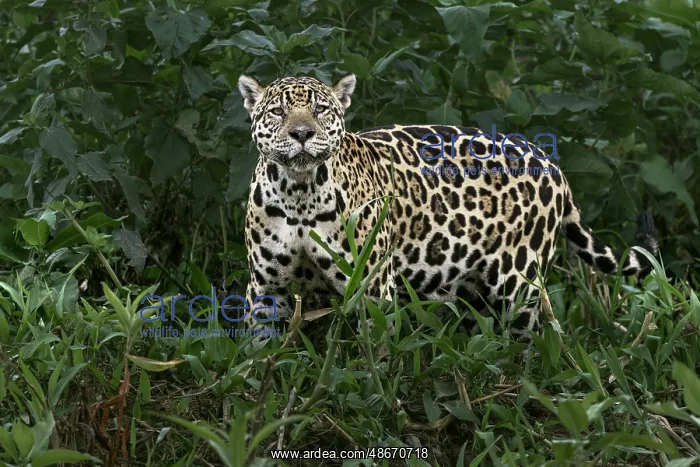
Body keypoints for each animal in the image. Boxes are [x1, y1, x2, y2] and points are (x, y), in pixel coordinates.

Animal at [237, 73, 658, 339]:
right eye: (277, 112)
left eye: (321, 110)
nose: (302, 133)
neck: (299, 193)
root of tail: (550, 161)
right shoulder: (266, 289)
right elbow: (260, 349)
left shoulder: (372, 288)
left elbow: (373, 356)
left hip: (518, 283)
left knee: (529, 337)